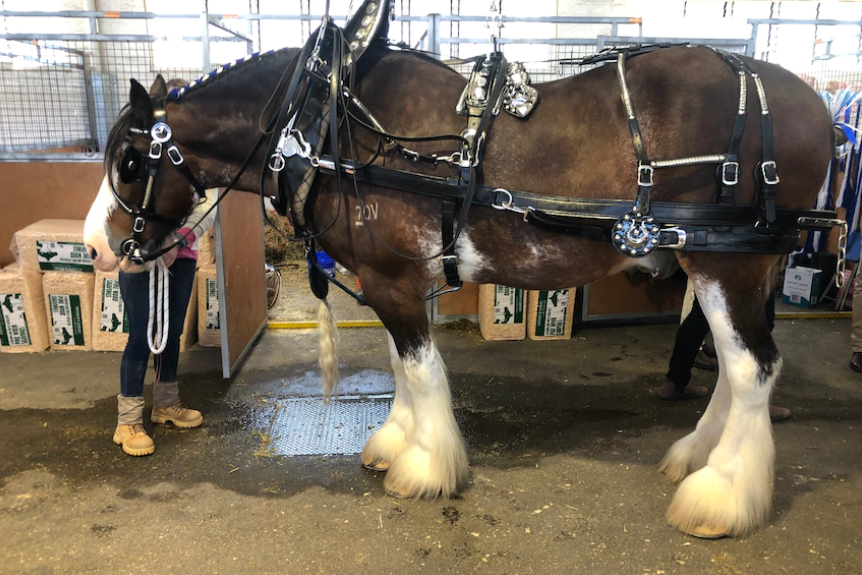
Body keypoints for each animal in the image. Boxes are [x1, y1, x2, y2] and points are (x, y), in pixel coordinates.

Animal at [86, 7, 844, 540]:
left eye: (130, 160)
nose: (97, 246)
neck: (331, 123)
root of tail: (813, 105)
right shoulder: (392, 279)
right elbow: (402, 366)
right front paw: (396, 443)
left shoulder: (394, 280)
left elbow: (422, 372)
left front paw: (426, 468)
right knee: (737, 368)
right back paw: (698, 457)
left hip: (726, 266)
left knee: (753, 368)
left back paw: (722, 495)